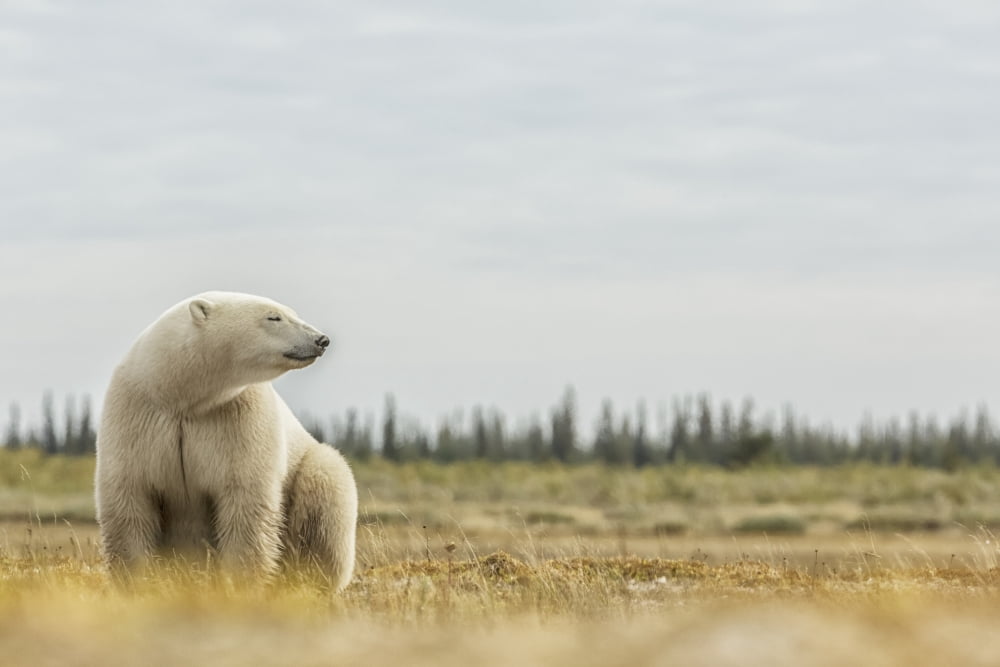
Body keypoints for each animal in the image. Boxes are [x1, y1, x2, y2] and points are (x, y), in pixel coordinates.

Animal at [94, 291, 358, 590]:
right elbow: (130, 496)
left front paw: (241, 583)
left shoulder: (237, 418)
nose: (321, 340)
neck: (180, 396)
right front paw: (136, 582)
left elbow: (245, 497)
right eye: (274, 317)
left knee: (326, 486)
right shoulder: (138, 415)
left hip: (309, 465)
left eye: (292, 312)